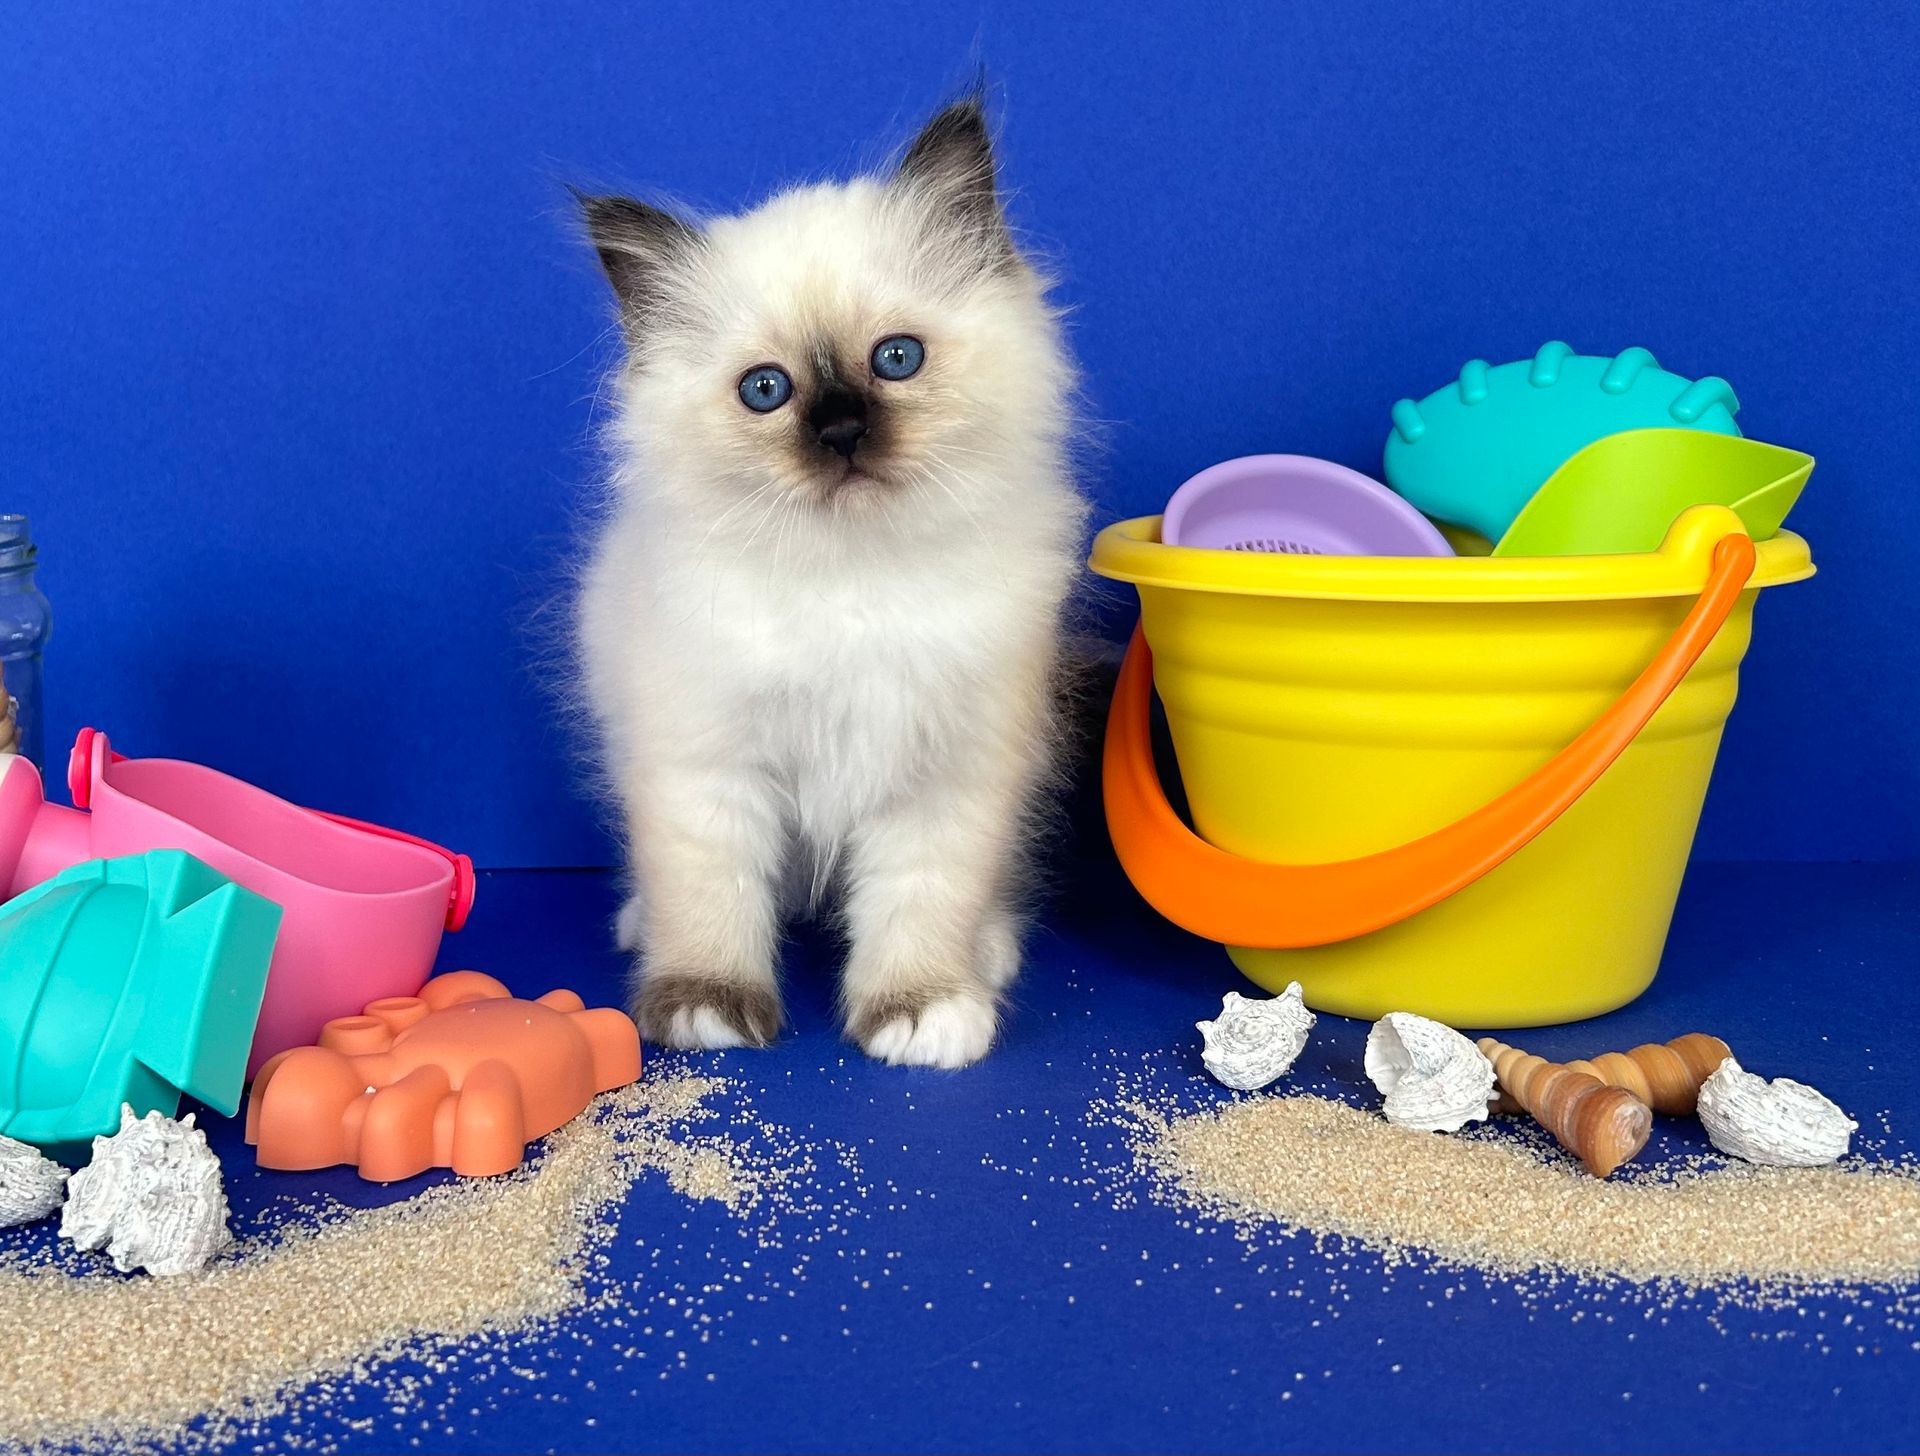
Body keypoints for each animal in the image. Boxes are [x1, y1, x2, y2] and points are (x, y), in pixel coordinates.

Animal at [574, 96, 1086, 1068]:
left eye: (896, 360)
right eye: (766, 390)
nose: (842, 430)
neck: (850, 577)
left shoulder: (946, 777)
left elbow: (922, 902)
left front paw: (921, 1012)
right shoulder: (706, 769)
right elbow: (710, 899)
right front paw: (706, 1006)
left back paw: (988, 954)